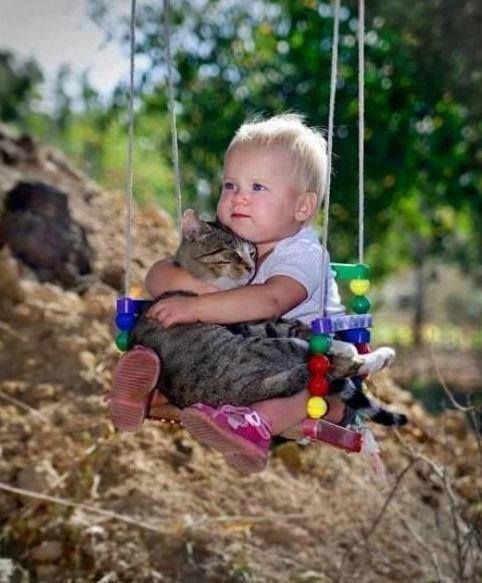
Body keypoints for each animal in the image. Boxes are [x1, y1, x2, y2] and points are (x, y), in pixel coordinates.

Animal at [132, 212, 406, 426]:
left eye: (252, 252)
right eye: (231, 252)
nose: (251, 268)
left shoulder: (250, 322)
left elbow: (292, 325)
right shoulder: (250, 325)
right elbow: (296, 329)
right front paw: (340, 345)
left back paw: (381, 355)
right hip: (266, 349)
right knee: (328, 363)